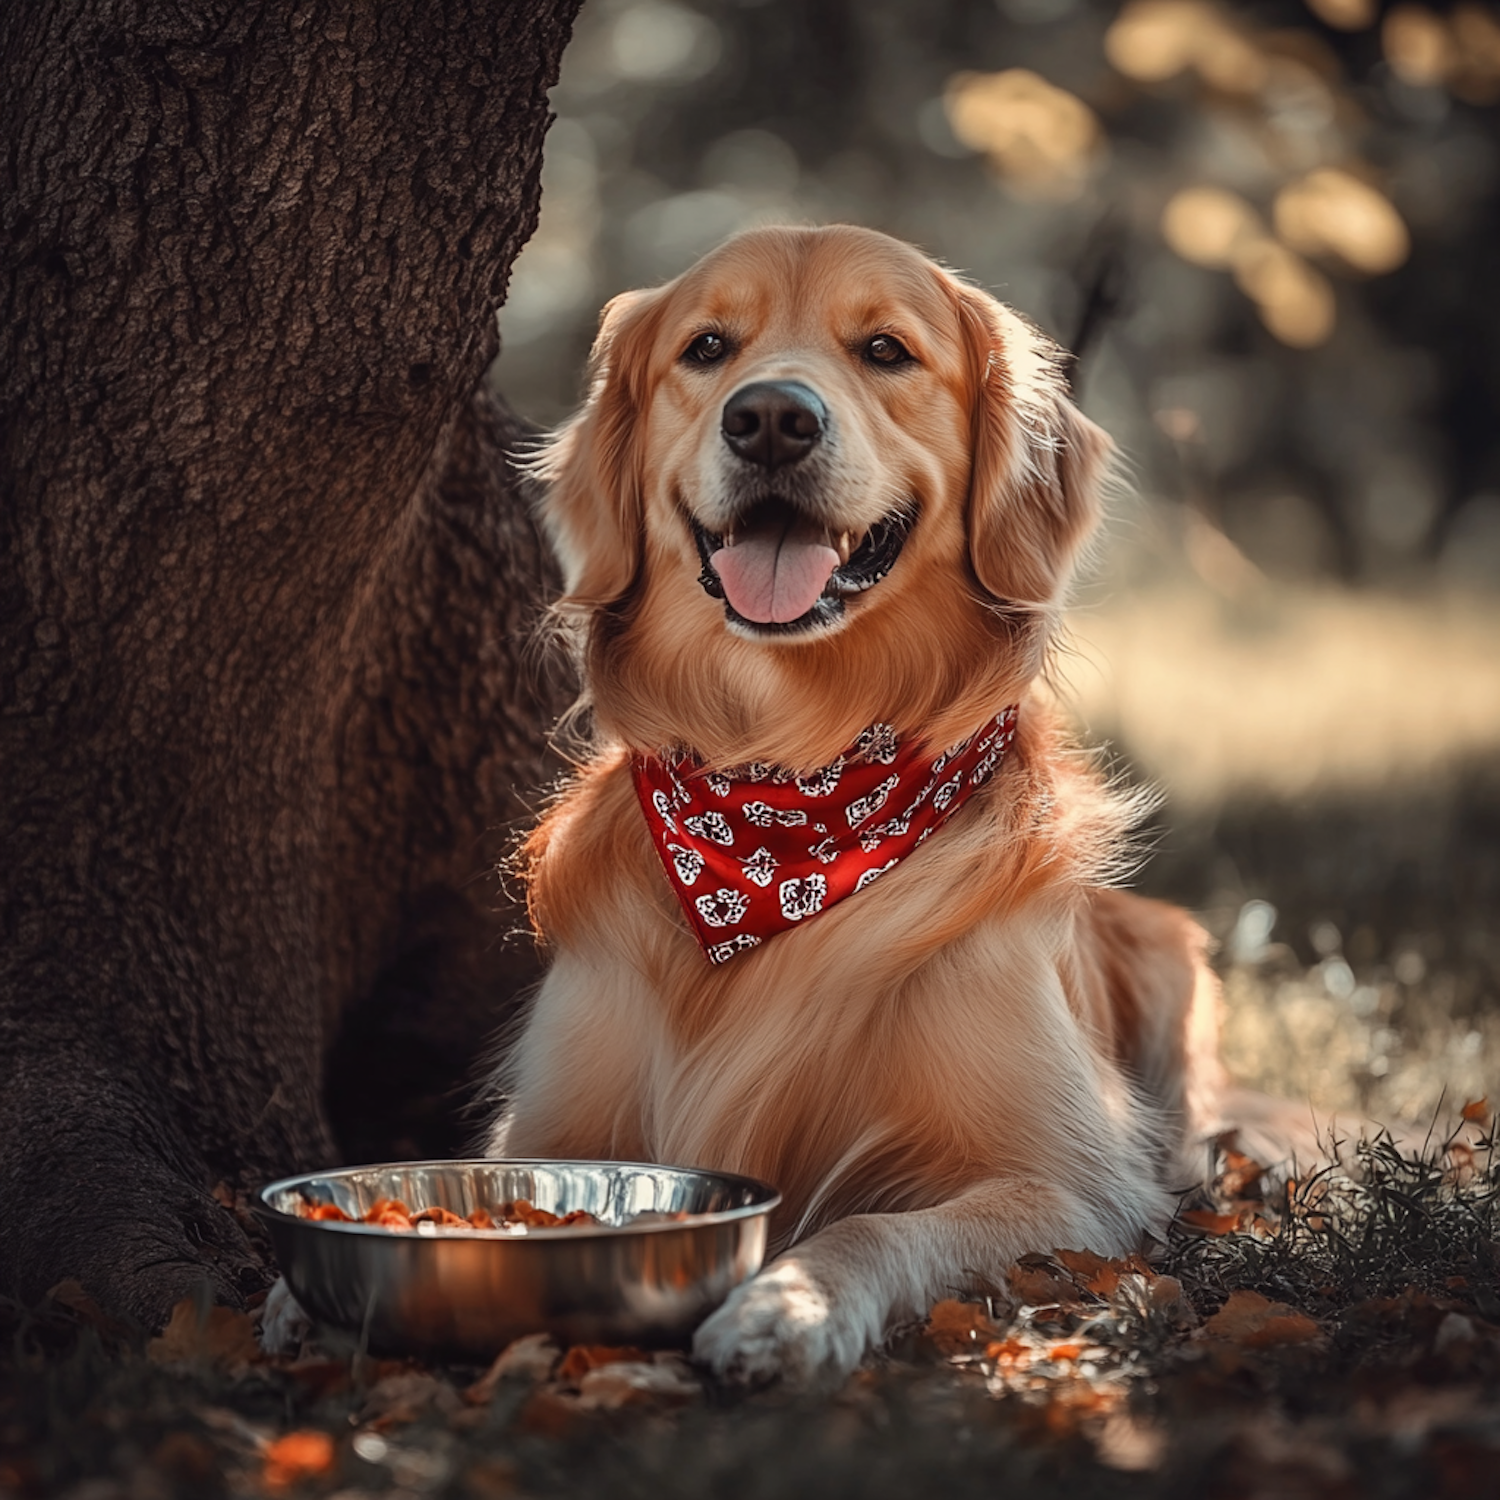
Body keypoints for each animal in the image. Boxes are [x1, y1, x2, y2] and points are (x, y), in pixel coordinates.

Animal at [486, 219, 1224, 1380]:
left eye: (886, 350)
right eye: (706, 347)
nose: (770, 419)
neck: (787, 798)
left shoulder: (1076, 1186)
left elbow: (874, 1222)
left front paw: (785, 1307)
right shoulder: (543, 1129)